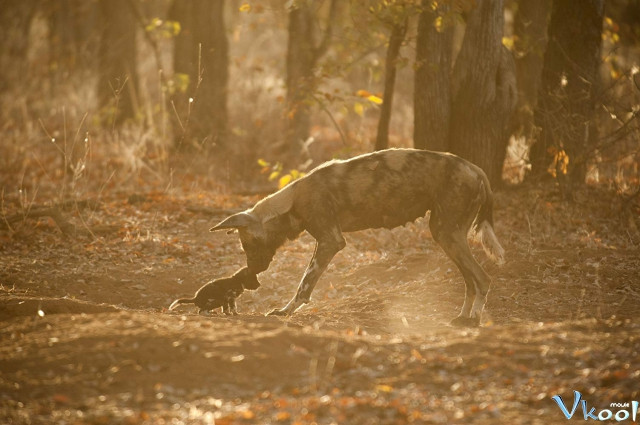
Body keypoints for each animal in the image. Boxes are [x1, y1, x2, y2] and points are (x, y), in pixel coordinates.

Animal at [211, 147, 504, 326]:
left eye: (247, 244)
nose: (253, 269)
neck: (292, 202)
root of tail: (475, 168)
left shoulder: (330, 241)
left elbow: (304, 285)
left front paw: (285, 312)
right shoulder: (324, 240)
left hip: (447, 233)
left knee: (483, 278)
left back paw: (474, 320)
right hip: (448, 236)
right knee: (471, 281)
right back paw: (463, 317)